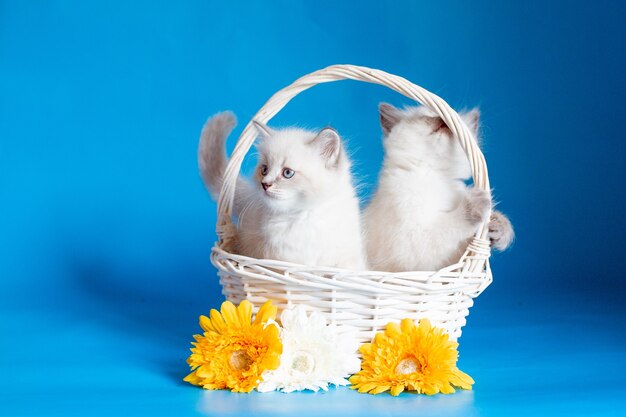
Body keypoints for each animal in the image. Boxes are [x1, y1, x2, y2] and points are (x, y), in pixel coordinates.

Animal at [197, 110, 366, 268]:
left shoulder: (346, 261)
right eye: (264, 170)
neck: (303, 217)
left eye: (287, 173)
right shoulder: (279, 259)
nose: (264, 184)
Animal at [360, 101, 512, 270]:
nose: (442, 119)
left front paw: (499, 227)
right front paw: (477, 201)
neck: (435, 173)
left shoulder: (453, 263)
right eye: (425, 116)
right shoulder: (408, 243)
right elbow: (450, 225)